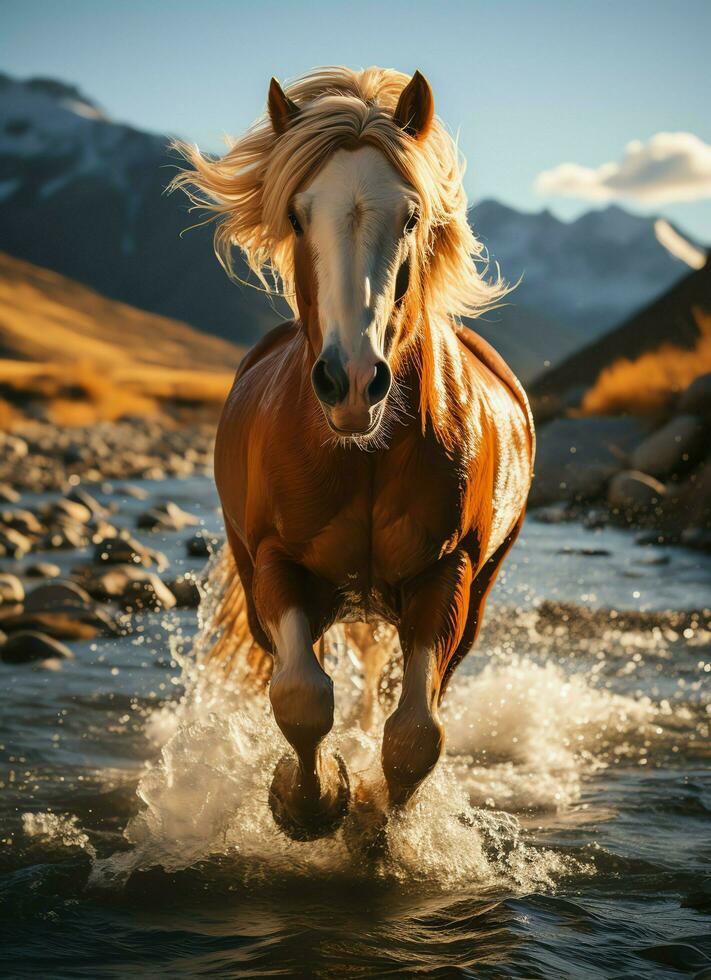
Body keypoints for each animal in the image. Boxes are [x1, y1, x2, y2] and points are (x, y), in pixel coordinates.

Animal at [172, 63, 536, 844]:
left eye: (411, 217)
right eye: (297, 216)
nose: (352, 382)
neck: (362, 454)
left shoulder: (446, 575)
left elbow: (415, 734)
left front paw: (379, 830)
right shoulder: (275, 562)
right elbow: (302, 698)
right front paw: (308, 802)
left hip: (466, 599)